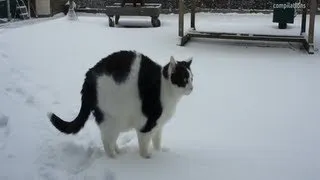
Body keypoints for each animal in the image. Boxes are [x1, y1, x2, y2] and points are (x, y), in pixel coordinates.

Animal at [47, 50, 192, 158]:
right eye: (184, 79)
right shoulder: (146, 125)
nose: (192, 88)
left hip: (115, 122)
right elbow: (144, 145)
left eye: (192, 78)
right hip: (111, 119)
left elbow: (157, 142)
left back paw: (119, 152)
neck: (165, 88)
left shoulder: (158, 126)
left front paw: (159, 153)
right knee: (106, 142)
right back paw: (114, 159)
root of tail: (88, 76)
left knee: (110, 140)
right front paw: (147, 158)